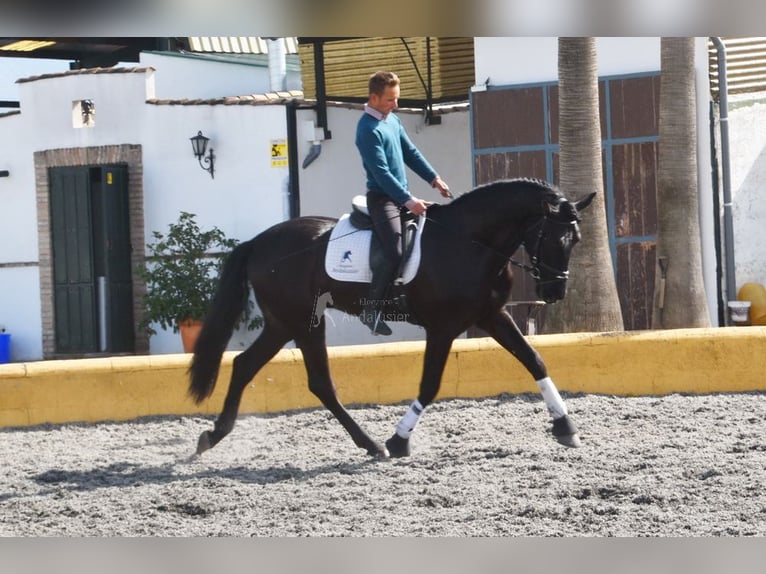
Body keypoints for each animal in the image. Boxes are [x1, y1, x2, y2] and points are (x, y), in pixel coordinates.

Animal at [188, 178, 595, 459]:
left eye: (575, 240)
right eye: (552, 239)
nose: (555, 292)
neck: (468, 242)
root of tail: (258, 242)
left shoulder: (492, 315)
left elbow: (534, 360)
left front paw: (565, 426)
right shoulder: (443, 327)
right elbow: (429, 385)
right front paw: (398, 440)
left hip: (281, 324)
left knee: (245, 365)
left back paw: (213, 435)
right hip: (303, 323)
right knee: (319, 382)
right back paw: (372, 443)